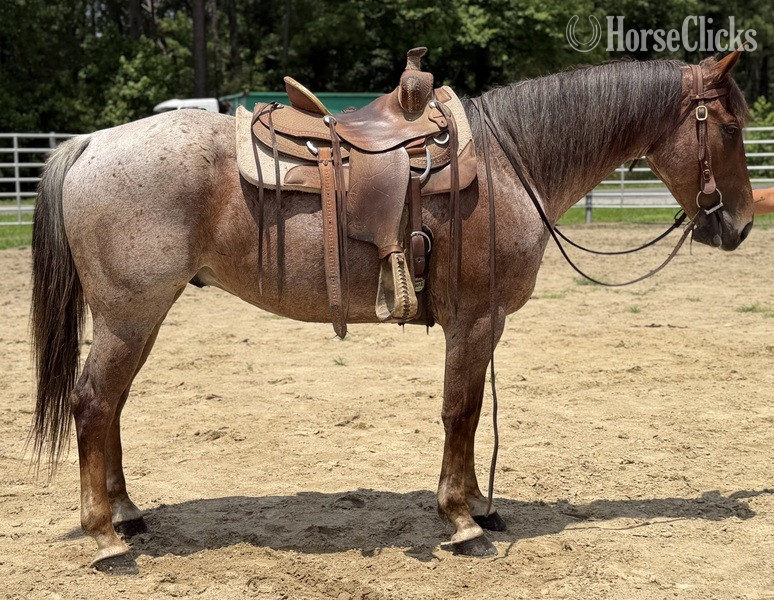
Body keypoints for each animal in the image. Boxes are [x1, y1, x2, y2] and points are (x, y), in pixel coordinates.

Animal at [30, 50, 753, 573]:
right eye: (731, 127)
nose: (741, 225)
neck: (510, 162)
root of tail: (90, 144)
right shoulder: (475, 321)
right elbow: (461, 411)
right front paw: (462, 521)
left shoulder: (485, 323)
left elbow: (471, 412)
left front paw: (480, 506)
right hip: (131, 314)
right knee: (93, 402)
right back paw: (106, 538)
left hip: (139, 317)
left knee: (112, 405)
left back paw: (127, 514)